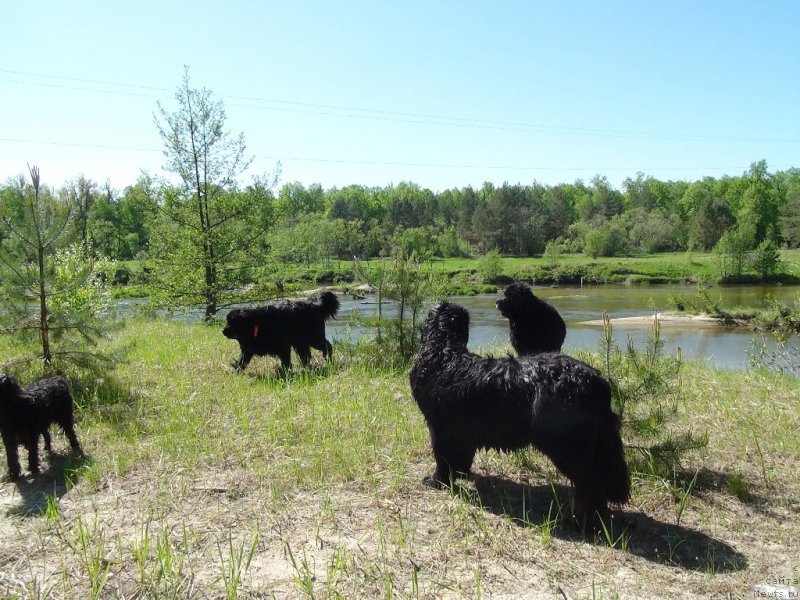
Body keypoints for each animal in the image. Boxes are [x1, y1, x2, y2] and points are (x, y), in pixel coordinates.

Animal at [410, 302, 628, 516]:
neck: (444, 352)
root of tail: (597, 381)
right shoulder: (462, 431)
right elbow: (461, 456)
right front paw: (461, 473)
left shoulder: (439, 427)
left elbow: (442, 457)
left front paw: (436, 481)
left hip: (566, 444)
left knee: (591, 484)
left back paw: (585, 520)